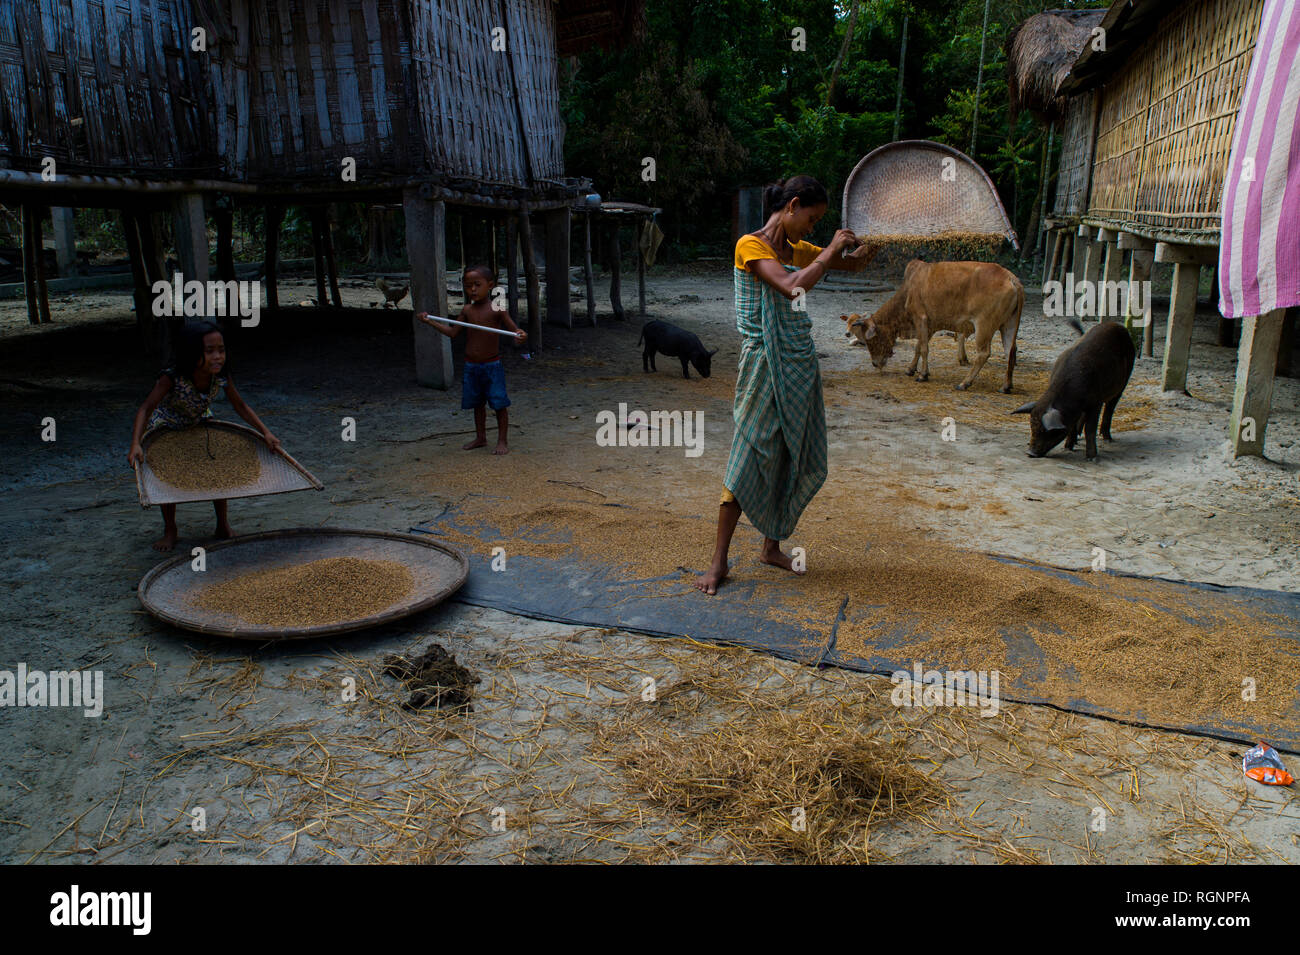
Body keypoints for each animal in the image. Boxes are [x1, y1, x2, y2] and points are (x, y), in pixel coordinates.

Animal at [842, 259, 1024, 389]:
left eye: (870, 340)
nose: (875, 364)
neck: (908, 291)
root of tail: (1011, 278)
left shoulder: (920, 319)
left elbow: (923, 349)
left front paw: (923, 375)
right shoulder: (929, 326)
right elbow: (918, 347)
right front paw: (911, 369)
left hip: (984, 326)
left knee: (984, 353)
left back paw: (964, 383)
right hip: (1008, 326)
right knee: (1010, 351)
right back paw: (1006, 386)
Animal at [1008, 320, 1133, 462]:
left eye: (1046, 431)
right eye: (1032, 427)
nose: (1030, 453)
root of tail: (1116, 325)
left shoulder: (1096, 402)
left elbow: (1090, 429)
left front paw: (1091, 458)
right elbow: (1072, 425)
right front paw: (1068, 448)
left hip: (1124, 381)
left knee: (1110, 408)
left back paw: (1108, 439)